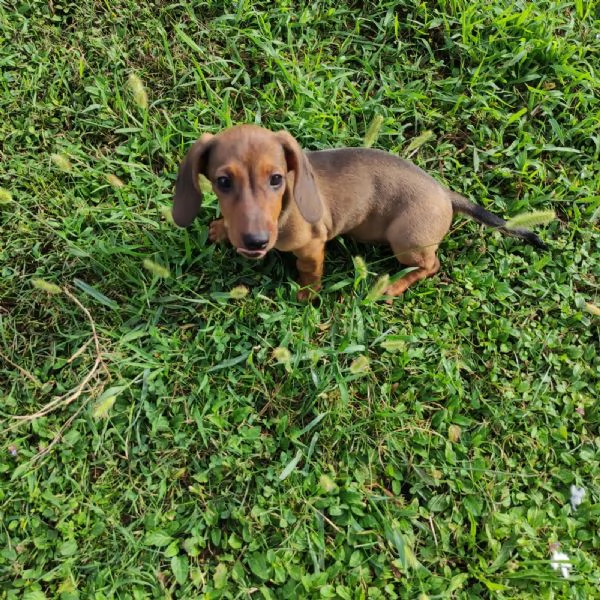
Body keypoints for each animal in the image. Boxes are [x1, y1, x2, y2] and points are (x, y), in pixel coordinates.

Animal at [171, 125, 548, 300]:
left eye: (276, 179)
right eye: (222, 182)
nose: (255, 241)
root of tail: (446, 194)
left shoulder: (313, 245)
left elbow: (310, 271)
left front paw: (307, 295)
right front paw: (221, 229)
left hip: (406, 239)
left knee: (431, 265)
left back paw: (394, 286)